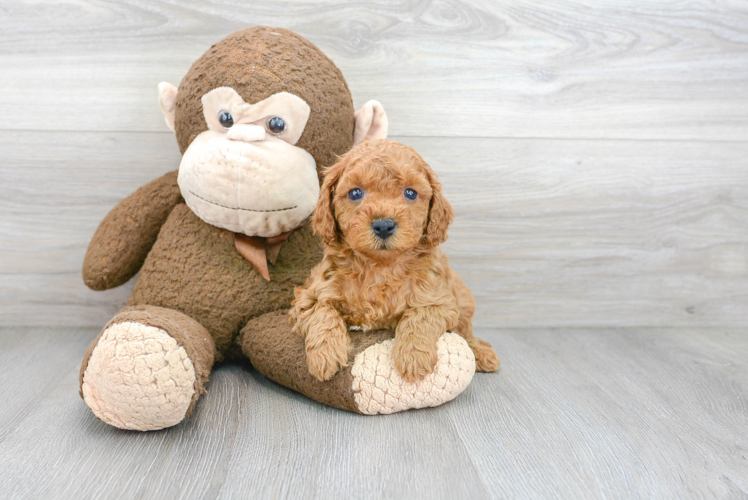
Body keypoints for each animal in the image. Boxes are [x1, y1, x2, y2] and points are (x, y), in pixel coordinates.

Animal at [290, 139, 500, 380]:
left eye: (410, 193)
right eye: (355, 193)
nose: (383, 225)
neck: (380, 267)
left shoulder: (439, 300)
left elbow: (419, 317)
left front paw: (414, 357)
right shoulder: (309, 295)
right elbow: (322, 312)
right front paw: (325, 355)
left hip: (464, 299)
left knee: (465, 332)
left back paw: (482, 353)